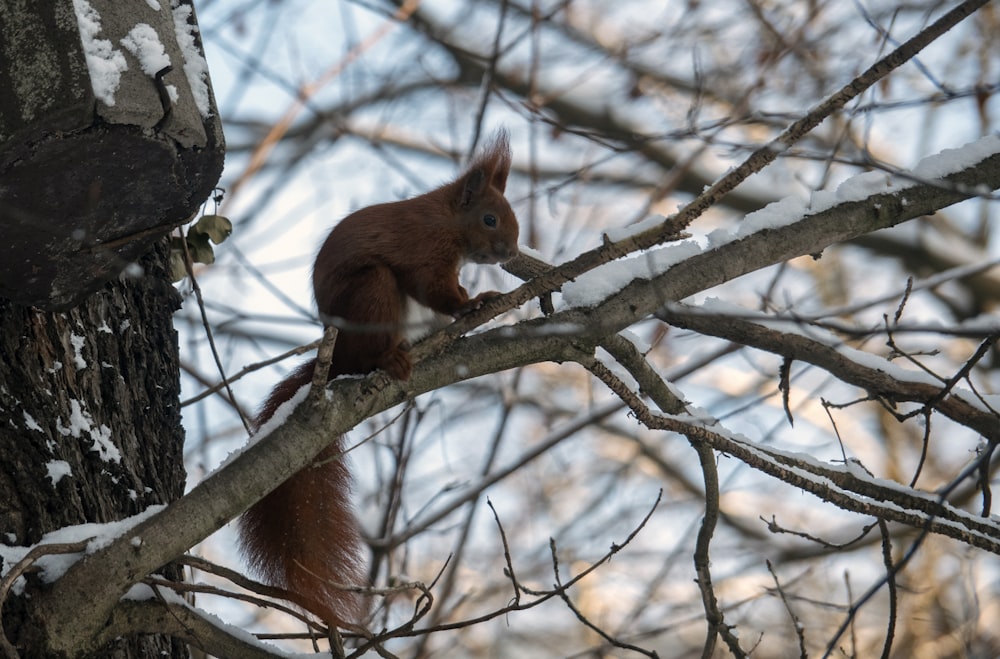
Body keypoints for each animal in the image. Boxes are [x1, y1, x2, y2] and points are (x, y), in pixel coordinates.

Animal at [234, 129, 516, 628]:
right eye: (489, 218)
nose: (514, 252)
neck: (446, 218)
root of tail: (341, 357)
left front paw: (475, 298)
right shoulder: (426, 251)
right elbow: (434, 288)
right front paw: (470, 302)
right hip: (374, 291)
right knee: (377, 337)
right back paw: (392, 359)